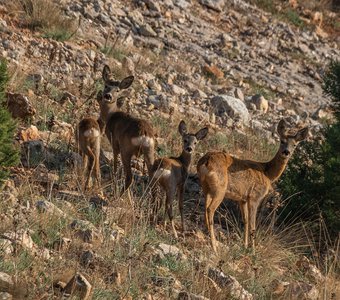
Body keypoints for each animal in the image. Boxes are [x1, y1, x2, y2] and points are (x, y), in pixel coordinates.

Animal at [97, 64, 155, 193]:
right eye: (106, 85)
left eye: (117, 90)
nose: (108, 96)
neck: (110, 115)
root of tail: (144, 134)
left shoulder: (114, 141)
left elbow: (114, 161)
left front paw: (113, 177)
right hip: (150, 151)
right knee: (153, 179)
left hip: (127, 149)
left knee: (129, 176)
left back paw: (117, 195)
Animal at [198, 118, 310, 252]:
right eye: (282, 141)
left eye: (295, 145)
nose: (286, 152)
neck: (267, 173)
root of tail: (205, 161)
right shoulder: (254, 196)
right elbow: (252, 224)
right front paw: (253, 250)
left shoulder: (242, 199)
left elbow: (245, 221)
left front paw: (245, 246)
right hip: (220, 188)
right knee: (210, 210)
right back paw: (214, 247)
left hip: (206, 188)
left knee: (205, 209)